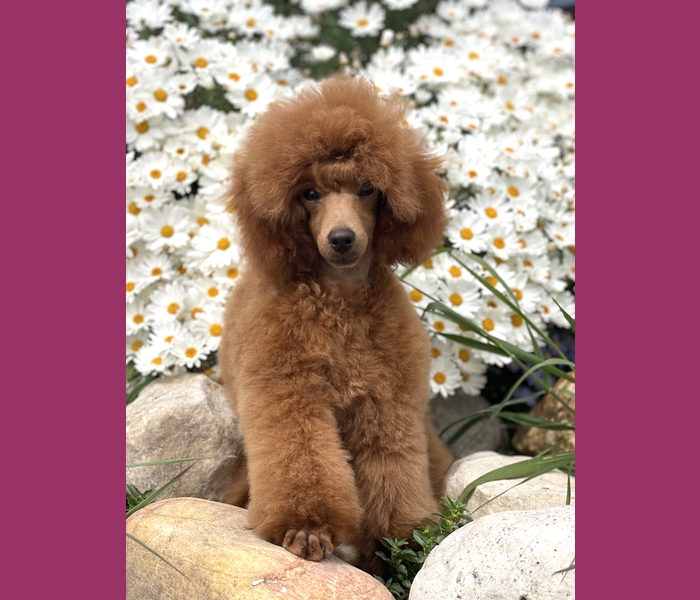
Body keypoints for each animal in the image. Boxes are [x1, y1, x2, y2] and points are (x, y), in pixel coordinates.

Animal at [218, 77, 454, 574]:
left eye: (367, 189)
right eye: (309, 194)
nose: (342, 238)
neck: (340, 303)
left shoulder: (387, 403)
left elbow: (393, 471)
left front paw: (394, 550)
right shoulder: (289, 394)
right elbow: (300, 456)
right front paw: (307, 529)